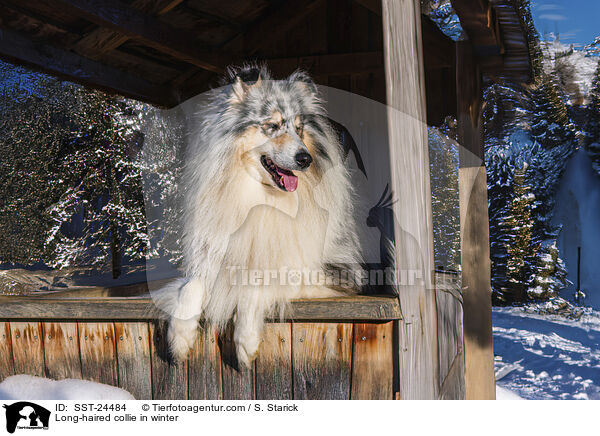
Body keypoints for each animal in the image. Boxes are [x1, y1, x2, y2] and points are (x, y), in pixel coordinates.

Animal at [158, 63, 360, 364]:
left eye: (299, 129)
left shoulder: (324, 273)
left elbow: (259, 281)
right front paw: (179, 339)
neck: (260, 197)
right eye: (272, 126)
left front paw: (246, 342)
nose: (305, 159)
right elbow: (190, 286)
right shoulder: (211, 258)